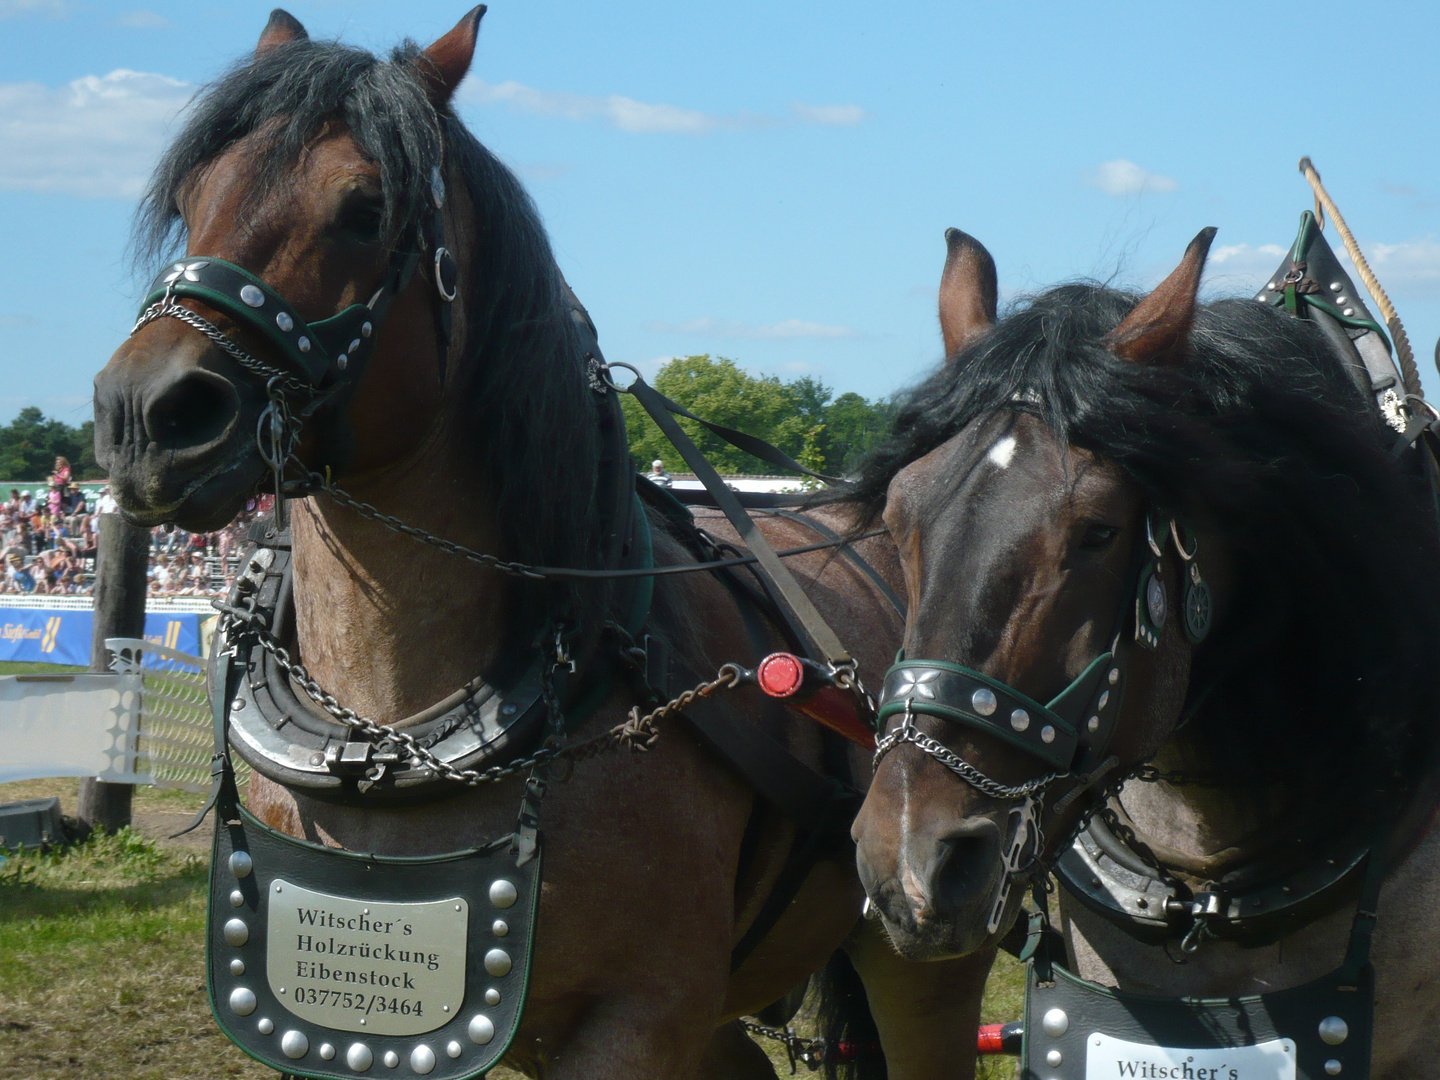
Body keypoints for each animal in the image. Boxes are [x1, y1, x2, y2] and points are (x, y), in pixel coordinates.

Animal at [90, 8, 990, 1080]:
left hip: (919, 953)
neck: (389, 739)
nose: (145, 413)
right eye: (193, 199)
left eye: (364, 207)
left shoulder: (637, 1022)